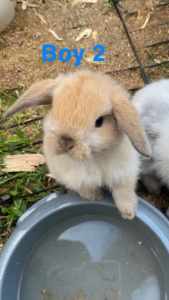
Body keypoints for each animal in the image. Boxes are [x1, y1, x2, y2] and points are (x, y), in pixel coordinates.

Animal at [3, 69, 151, 219]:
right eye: (53, 109)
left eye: (99, 122)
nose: (65, 142)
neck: (93, 157)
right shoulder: (75, 178)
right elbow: (85, 189)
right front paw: (95, 197)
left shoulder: (124, 175)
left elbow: (123, 192)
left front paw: (128, 213)